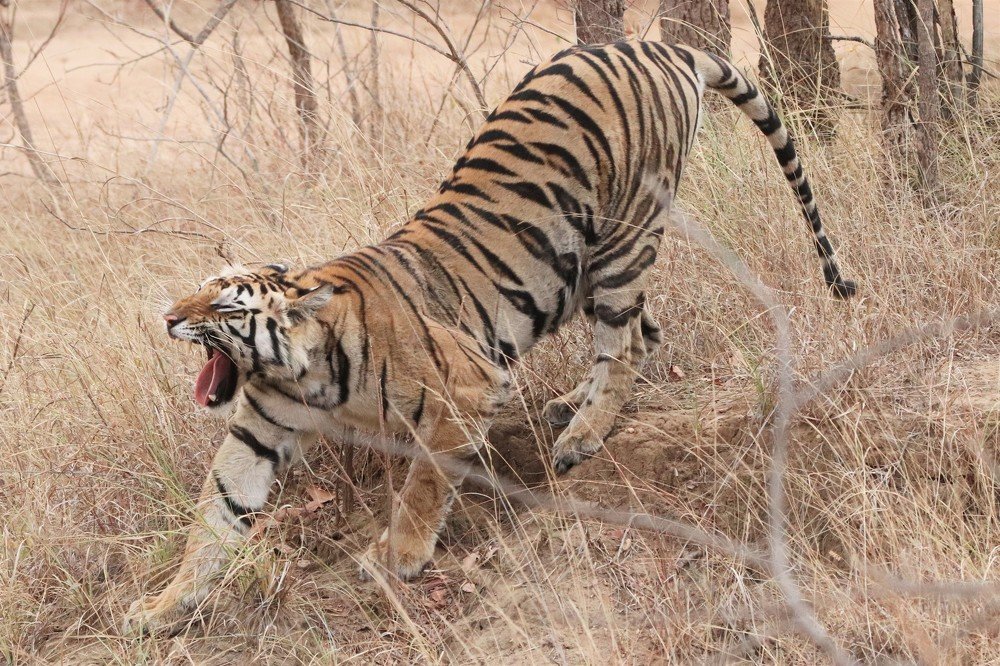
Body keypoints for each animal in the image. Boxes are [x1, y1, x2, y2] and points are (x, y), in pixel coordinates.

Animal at [123, 41, 855, 635]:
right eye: (198, 288)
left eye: (222, 302)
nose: (166, 318)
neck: (298, 370)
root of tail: (659, 45)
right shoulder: (258, 428)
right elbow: (215, 516)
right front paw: (163, 608)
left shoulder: (463, 392)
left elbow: (423, 486)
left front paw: (398, 559)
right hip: (577, 269)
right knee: (644, 334)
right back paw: (570, 407)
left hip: (623, 238)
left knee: (622, 346)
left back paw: (581, 435)